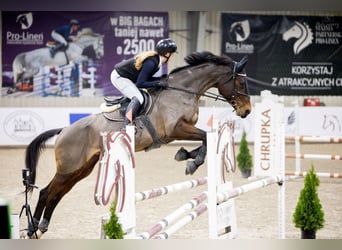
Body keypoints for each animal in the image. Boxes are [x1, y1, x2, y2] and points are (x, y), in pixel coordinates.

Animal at [22, 50, 250, 238]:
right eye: (240, 84)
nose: (246, 111)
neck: (182, 90)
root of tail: (64, 130)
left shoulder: (179, 131)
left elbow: (204, 138)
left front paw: (186, 156)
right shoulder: (175, 129)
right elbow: (204, 136)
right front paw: (192, 161)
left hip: (82, 169)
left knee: (57, 194)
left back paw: (42, 226)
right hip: (69, 168)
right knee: (46, 192)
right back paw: (33, 228)